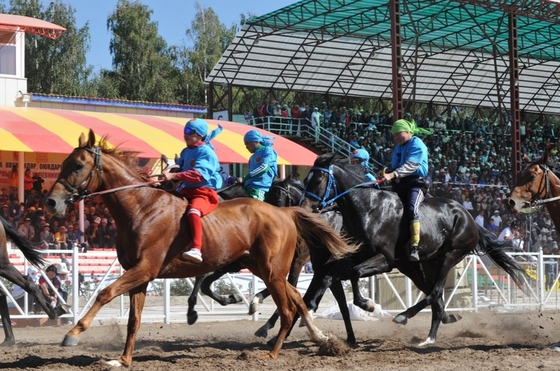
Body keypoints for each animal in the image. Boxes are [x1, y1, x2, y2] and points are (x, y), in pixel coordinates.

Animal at [44, 129, 358, 368]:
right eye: (64, 162)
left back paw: (272, 352)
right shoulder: (140, 276)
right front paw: (123, 359)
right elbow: (134, 320)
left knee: (288, 309)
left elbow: (104, 293)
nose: (51, 201)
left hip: (272, 271)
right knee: (297, 299)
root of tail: (285, 212)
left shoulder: (145, 269)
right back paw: (320, 337)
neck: (142, 208)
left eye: (78, 165)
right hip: (265, 269)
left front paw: (73, 332)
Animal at [300, 153, 524, 348]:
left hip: (450, 255)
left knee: (435, 292)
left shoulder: (385, 259)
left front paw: (368, 305)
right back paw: (434, 330)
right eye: (305, 178)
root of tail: (468, 217)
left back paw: (408, 319)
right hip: (425, 264)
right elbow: (331, 277)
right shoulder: (353, 257)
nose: (305, 206)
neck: (368, 208)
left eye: (318, 180)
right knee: (434, 294)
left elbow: (355, 274)